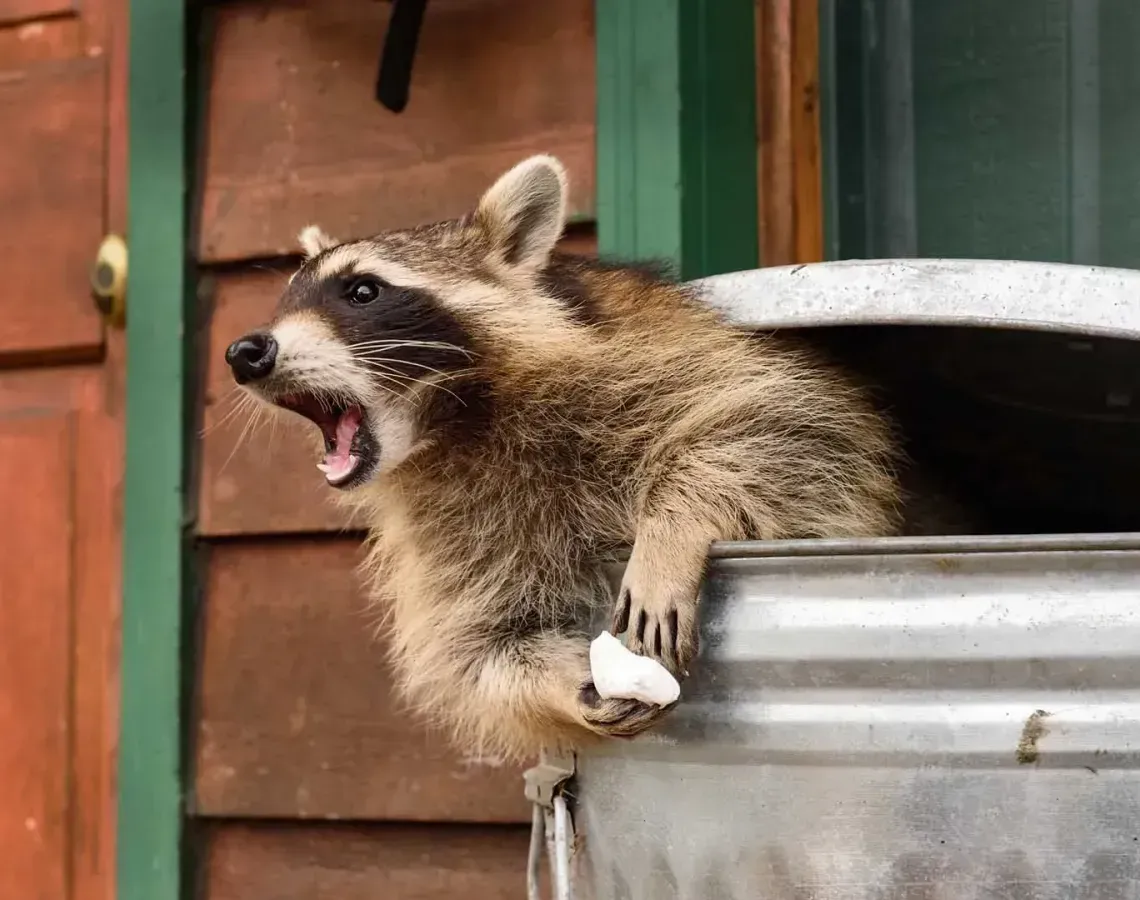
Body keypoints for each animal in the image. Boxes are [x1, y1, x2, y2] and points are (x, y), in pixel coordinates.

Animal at [225, 155, 908, 761]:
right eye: (285, 300)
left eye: (363, 290)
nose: (245, 351)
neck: (455, 424)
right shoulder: (457, 533)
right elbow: (480, 645)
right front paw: (566, 683)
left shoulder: (667, 357)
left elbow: (788, 428)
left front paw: (672, 527)